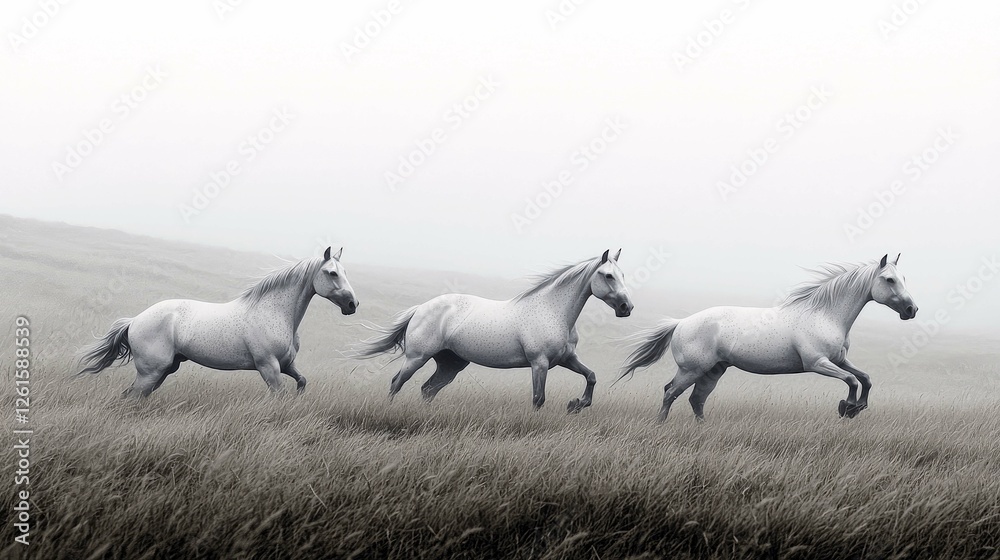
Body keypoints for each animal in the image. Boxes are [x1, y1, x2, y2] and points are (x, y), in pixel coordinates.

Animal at [77, 247, 359, 397]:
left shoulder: (287, 364)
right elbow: (278, 395)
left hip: (165, 370)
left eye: (345, 272)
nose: (352, 305)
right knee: (134, 395)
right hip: (151, 371)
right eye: (331, 273)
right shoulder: (268, 367)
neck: (274, 312)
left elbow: (302, 381)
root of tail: (135, 320)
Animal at [355, 249, 634, 413]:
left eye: (622, 274)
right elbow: (538, 399)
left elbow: (591, 376)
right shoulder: (539, 363)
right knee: (397, 383)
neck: (552, 310)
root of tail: (420, 308)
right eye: (608, 275)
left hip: (451, 364)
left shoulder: (566, 359)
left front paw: (577, 404)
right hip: (417, 358)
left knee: (428, 390)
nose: (626, 307)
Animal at [619, 254, 917, 422]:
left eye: (903, 278)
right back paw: (660, 425)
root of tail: (680, 323)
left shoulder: (839, 360)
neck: (824, 315)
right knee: (670, 393)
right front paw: (847, 408)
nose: (911, 310)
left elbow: (865, 378)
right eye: (889, 280)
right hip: (692, 369)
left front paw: (859, 406)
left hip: (713, 371)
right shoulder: (817, 363)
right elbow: (852, 380)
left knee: (696, 400)